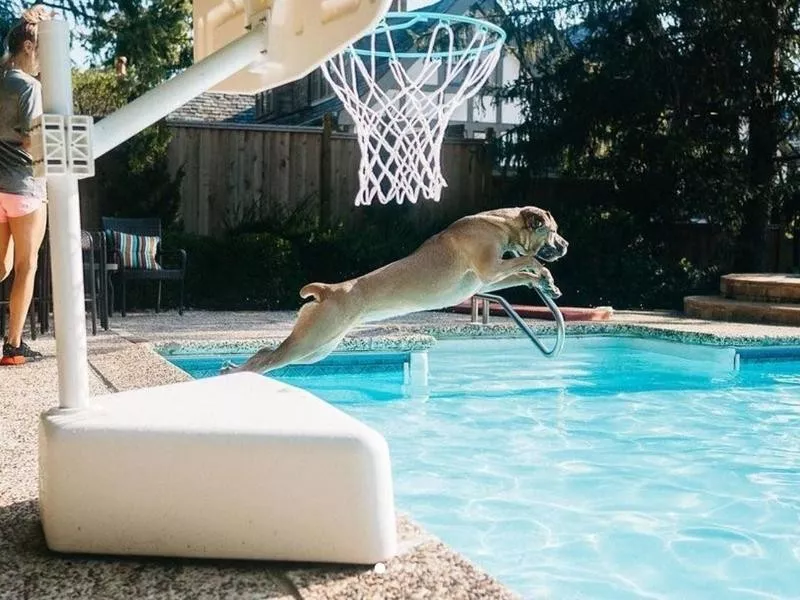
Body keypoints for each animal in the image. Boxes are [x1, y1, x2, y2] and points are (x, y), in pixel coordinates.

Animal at [222, 207, 564, 376]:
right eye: (553, 231)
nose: (566, 245)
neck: (501, 224)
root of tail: (328, 290)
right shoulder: (490, 268)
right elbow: (528, 260)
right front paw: (543, 273)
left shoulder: (488, 281)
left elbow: (520, 274)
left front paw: (546, 282)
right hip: (311, 341)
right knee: (268, 358)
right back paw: (236, 373)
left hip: (317, 348)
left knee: (268, 354)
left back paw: (234, 370)